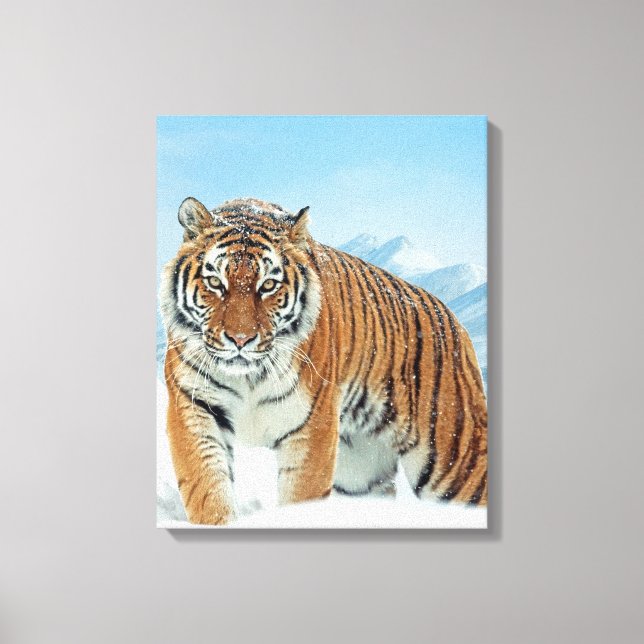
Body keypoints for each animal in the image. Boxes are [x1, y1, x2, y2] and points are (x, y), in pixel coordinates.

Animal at [160, 196, 488, 525]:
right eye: (215, 282)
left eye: (268, 286)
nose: (240, 340)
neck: (248, 378)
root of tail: (454, 320)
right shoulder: (194, 407)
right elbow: (208, 490)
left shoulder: (310, 426)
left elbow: (301, 496)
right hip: (360, 473)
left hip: (456, 464)